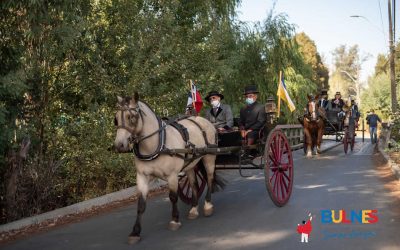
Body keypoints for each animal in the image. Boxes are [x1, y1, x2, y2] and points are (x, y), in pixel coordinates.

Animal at [113, 93, 225, 243]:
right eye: (116, 119)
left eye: (132, 117)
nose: (119, 145)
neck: (157, 143)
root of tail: (203, 120)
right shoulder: (142, 176)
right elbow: (141, 204)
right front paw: (135, 232)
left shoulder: (172, 176)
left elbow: (173, 197)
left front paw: (174, 220)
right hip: (191, 163)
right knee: (194, 184)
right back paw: (194, 209)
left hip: (209, 157)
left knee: (210, 177)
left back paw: (208, 206)